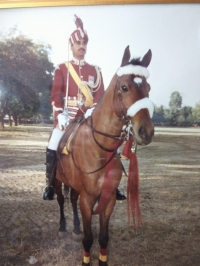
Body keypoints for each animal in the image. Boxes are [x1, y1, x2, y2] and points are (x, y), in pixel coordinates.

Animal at [54, 46, 154, 266]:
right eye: (124, 87)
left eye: (148, 88)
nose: (146, 132)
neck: (101, 148)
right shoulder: (88, 199)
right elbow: (88, 238)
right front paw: (86, 260)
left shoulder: (109, 200)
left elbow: (103, 237)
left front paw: (102, 260)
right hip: (57, 181)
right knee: (61, 200)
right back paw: (63, 226)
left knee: (71, 199)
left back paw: (75, 226)